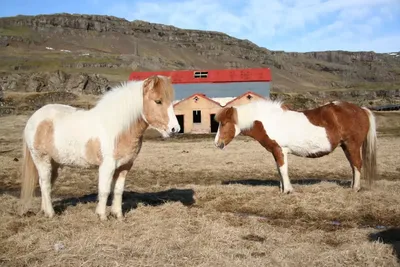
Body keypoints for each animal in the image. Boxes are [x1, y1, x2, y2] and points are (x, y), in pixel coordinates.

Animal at [20, 76, 180, 222]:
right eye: (158, 101)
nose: (175, 129)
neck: (118, 128)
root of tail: (34, 118)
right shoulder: (107, 166)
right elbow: (104, 190)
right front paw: (102, 216)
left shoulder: (125, 166)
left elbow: (118, 191)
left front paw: (118, 215)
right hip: (42, 159)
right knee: (45, 184)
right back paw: (50, 213)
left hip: (54, 162)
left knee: (44, 184)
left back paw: (44, 211)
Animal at [214, 99, 376, 194]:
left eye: (224, 123)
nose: (217, 144)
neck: (271, 120)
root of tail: (361, 109)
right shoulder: (276, 151)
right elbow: (279, 169)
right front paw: (282, 189)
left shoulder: (280, 149)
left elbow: (283, 169)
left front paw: (287, 190)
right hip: (346, 146)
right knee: (353, 166)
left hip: (352, 145)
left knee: (357, 164)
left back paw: (355, 188)